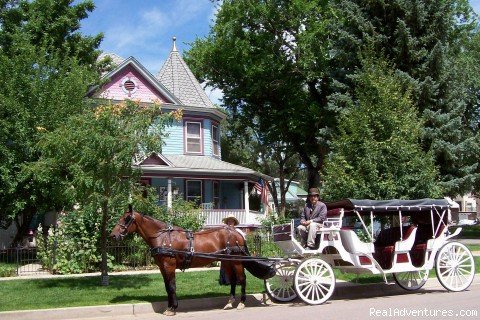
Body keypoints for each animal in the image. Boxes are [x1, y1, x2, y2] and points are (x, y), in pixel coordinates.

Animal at [109, 208, 274, 316]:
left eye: (126, 219)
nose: (113, 235)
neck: (163, 237)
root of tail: (237, 233)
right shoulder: (162, 267)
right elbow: (167, 287)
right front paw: (169, 307)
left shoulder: (169, 265)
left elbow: (172, 286)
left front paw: (172, 308)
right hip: (227, 261)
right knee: (233, 280)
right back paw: (229, 302)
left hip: (236, 261)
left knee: (242, 279)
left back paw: (241, 303)